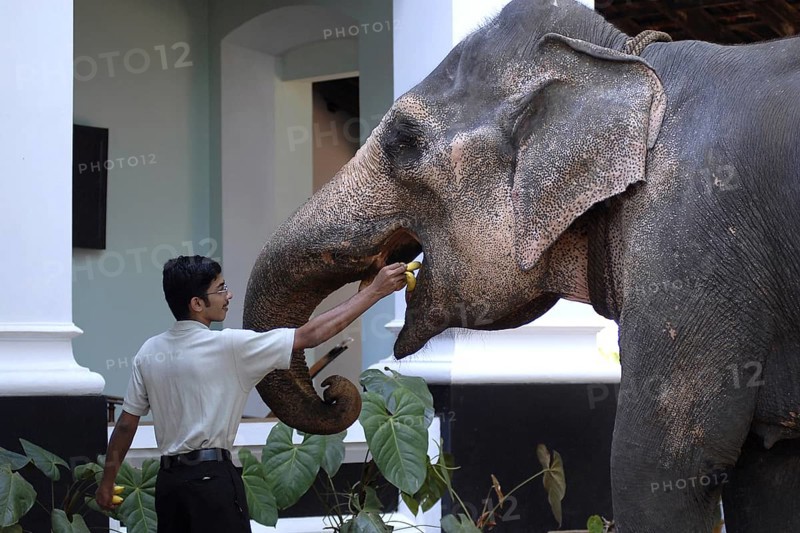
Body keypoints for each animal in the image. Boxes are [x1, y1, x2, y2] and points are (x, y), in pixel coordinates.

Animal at [243, 0, 800, 531]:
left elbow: (656, 468)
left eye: (403, 139)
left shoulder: (692, 243)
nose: (333, 388)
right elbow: (768, 476)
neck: (623, 58)